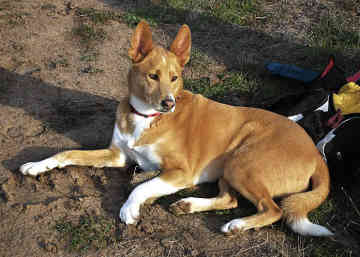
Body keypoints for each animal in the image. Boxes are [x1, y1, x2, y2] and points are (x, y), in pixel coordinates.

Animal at [21, 20, 334, 236]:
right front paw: (37, 165)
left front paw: (129, 207)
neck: (145, 118)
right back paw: (190, 205)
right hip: (230, 168)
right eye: (153, 76)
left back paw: (237, 224)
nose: (169, 103)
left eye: (174, 78)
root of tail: (316, 154)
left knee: (274, 209)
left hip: (242, 162)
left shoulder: (181, 172)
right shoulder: (117, 155)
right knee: (230, 199)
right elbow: (68, 153)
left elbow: (142, 185)